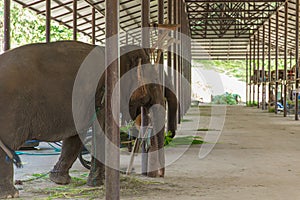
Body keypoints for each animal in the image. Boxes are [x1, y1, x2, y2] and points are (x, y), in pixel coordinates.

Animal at [0, 41, 178, 198]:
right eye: (153, 84)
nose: (159, 175)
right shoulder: (104, 94)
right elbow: (101, 132)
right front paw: (97, 183)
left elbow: (76, 136)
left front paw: (59, 180)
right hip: (10, 109)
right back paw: (11, 194)